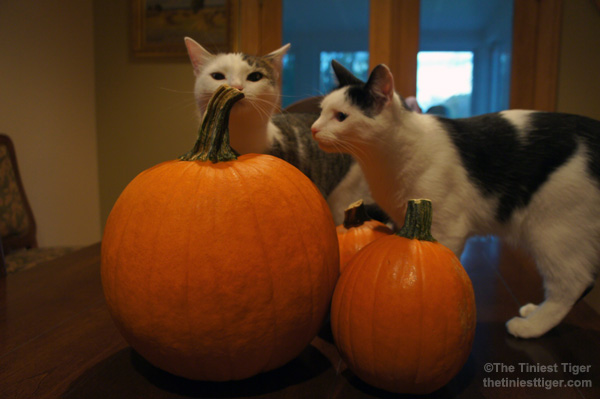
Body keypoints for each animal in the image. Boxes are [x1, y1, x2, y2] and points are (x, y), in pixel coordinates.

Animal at [310, 61, 600, 340]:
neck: (384, 161)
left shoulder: (448, 228)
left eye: (341, 116)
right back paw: (534, 312)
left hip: (553, 229)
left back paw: (532, 326)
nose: (313, 129)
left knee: (574, 283)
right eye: (321, 111)